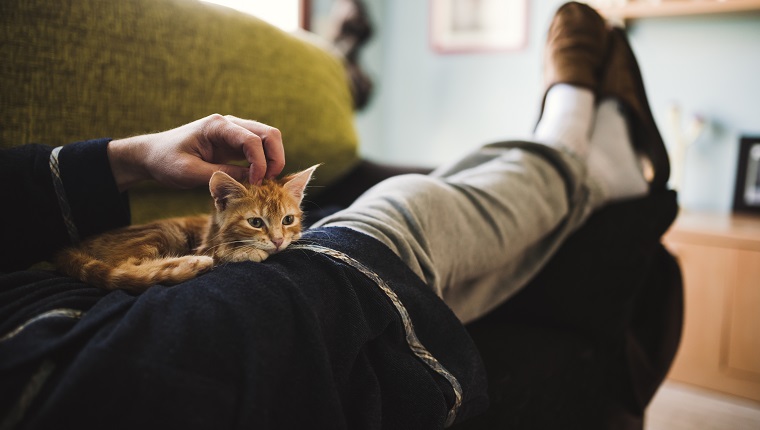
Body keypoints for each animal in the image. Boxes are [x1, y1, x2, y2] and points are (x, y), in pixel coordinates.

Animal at [55, 165, 318, 292]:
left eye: (287, 220)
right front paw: (245, 251)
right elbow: (220, 252)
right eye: (255, 222)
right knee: (125, 267)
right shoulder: (205, 246)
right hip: (161, 232)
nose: (277, 241)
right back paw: (190, 264)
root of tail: (73, 246)